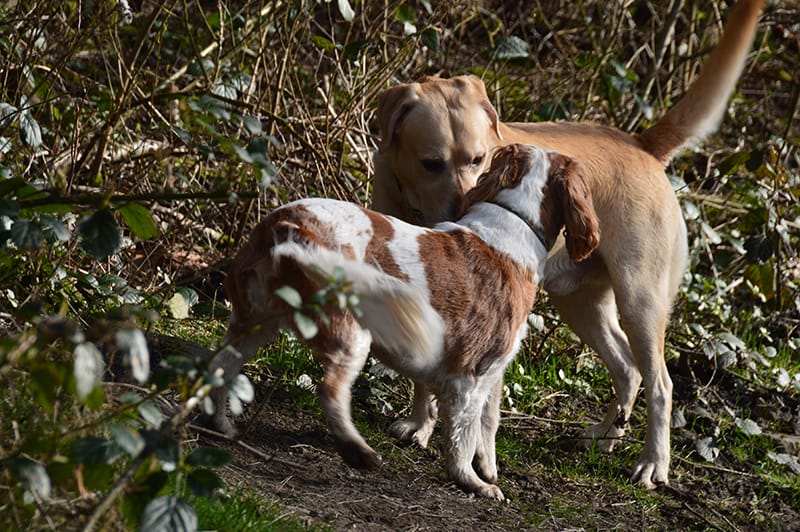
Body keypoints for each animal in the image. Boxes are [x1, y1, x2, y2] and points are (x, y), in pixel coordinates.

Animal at [212, 144, 600, 498]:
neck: (512, 225)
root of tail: (287, 226)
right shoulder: (471, 375)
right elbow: (464, 435)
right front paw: (473, 482)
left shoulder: (471, 366)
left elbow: (462, 410)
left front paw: (440, 443)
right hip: (352, 337)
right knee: (330, 390)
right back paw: (358, 451)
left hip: (253, 323)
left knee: (220, 367)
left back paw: (221, 425)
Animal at [372, 1, 764, 490]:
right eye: (431, 163)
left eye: (479, 158)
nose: (469, 208)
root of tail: (641, 143)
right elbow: (424, 375)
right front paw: (420, 423)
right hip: (581, 302)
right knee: (627, 368)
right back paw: (606, 436)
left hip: (640, 300)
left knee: (660, 383)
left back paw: (654, 463)